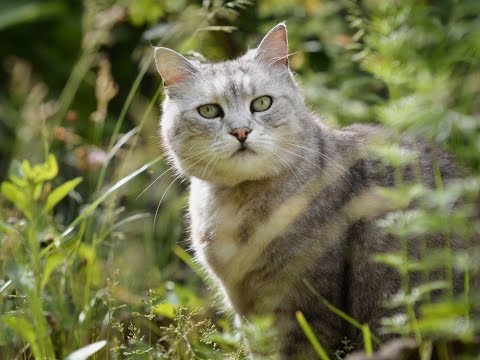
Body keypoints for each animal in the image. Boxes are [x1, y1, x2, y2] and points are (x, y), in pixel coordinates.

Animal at [154, 23, 462, 358]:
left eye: (261, 103)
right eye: (209, 111)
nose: (241, 131)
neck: (239, 207)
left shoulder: (307, 307)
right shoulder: (245, 307)